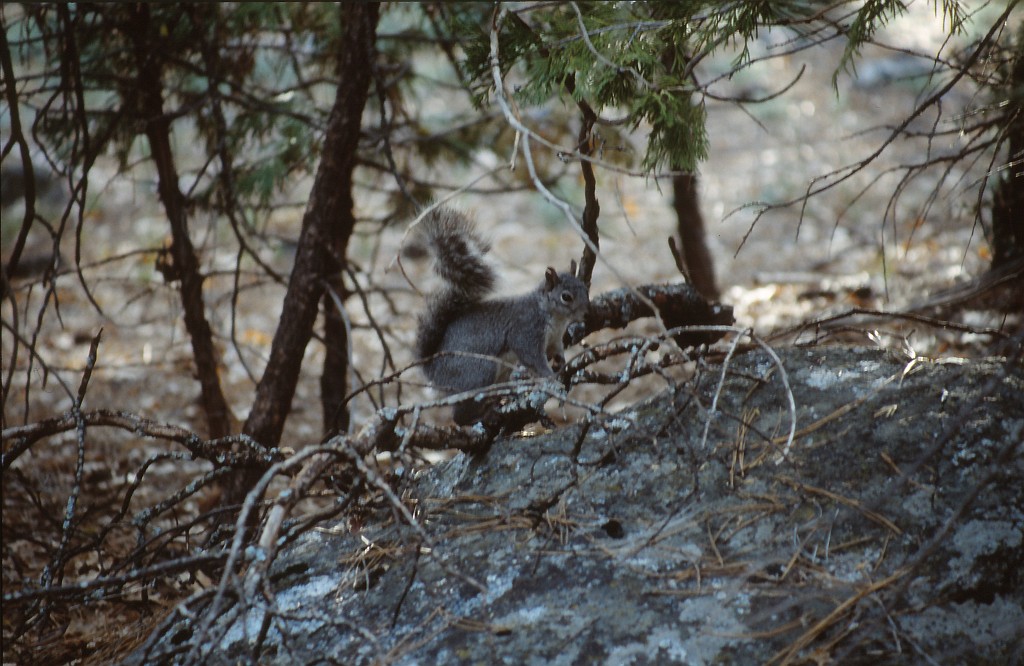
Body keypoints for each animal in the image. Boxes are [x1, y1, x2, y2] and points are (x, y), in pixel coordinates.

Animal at [414, 206, 590, 425]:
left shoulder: (555, 339)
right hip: (478, 372)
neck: (555, 318)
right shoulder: (526, 329)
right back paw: (480, 415)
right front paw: (550, 377)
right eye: (566, 297)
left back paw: (495, 401)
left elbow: (556, 351)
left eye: (585, 288)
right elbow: (532, 357)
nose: (587, 313)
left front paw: (561, 362)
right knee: (460, 415)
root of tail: (432, 369)